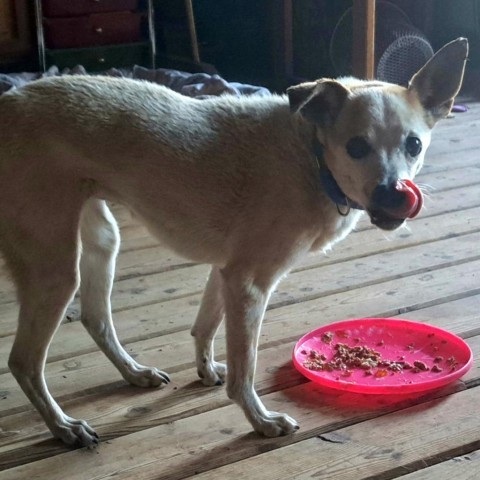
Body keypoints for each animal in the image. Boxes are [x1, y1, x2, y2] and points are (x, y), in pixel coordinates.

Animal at [0, 37, 466, 446]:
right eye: (356, 146)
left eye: (414, 145)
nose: (395, 195)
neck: (310, 156)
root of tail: (10, 104)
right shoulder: (250, 285)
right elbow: (245, 369)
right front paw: (261, 421)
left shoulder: (225, 273)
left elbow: (204, 326)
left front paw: (206, 370)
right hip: (56, 269)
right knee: (23, 362)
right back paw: (64, 427)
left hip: (101, 241)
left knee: (96, 319)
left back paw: (135, 373)